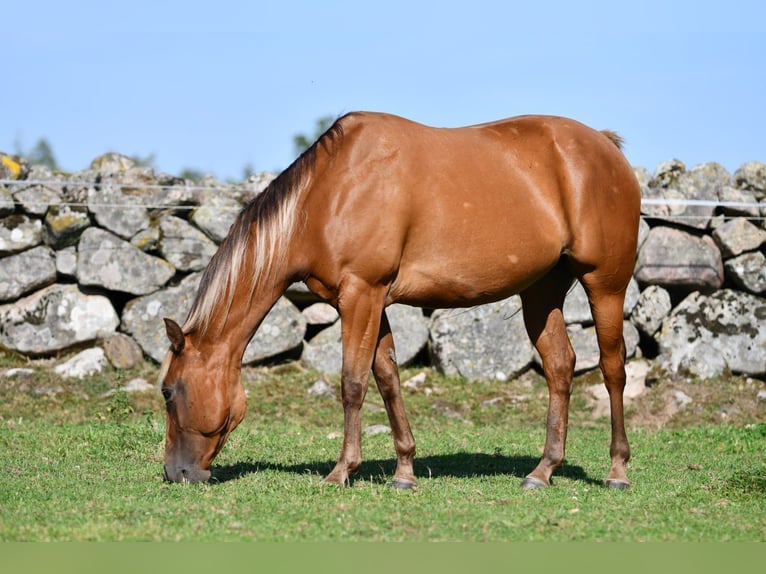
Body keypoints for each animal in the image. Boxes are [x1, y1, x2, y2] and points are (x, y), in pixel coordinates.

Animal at [159, 111, 641, 489]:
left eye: (167, 391)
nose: (174, 473)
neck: (328, 193)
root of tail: (606, 146)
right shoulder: (367, 301)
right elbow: (387, 378)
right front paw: (404, 471)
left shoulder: (362, 294)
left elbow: (353, 382)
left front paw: (341, 471)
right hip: (541, 292)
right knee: (560, 367)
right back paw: (543, 471)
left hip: (605, 285)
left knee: (613, 369)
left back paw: (617, 470)